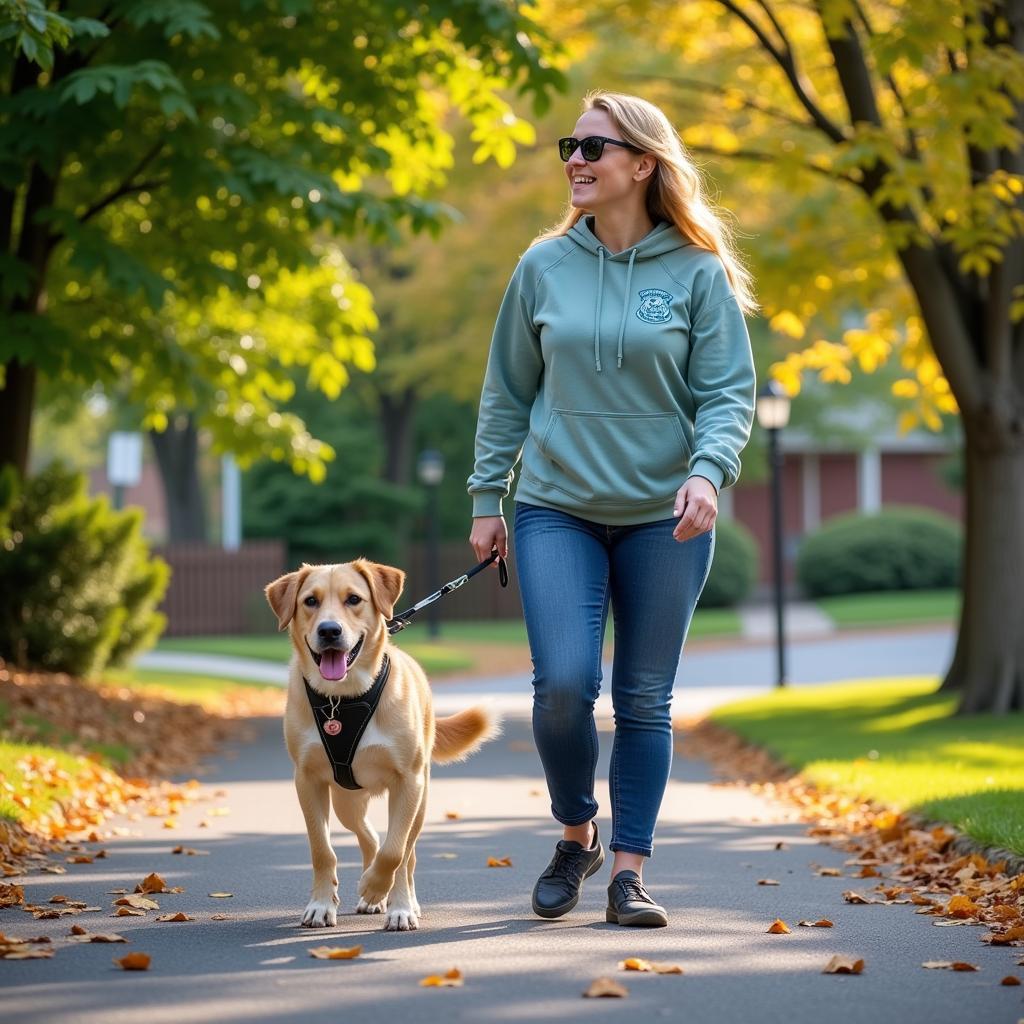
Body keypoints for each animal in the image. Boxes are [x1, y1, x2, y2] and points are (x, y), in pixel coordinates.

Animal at [264, 557, 499, 933]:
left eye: (354, 599)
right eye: (310, 601)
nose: (329, 631)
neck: (343, 699)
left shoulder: (408, 782)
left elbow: (395, 852)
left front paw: (383, 893)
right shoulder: (307, 780)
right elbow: (322, 849)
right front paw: (321, 904)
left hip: (419, 799)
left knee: (406, 852)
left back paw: (400, 902)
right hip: (346, 800)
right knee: (370, 838)